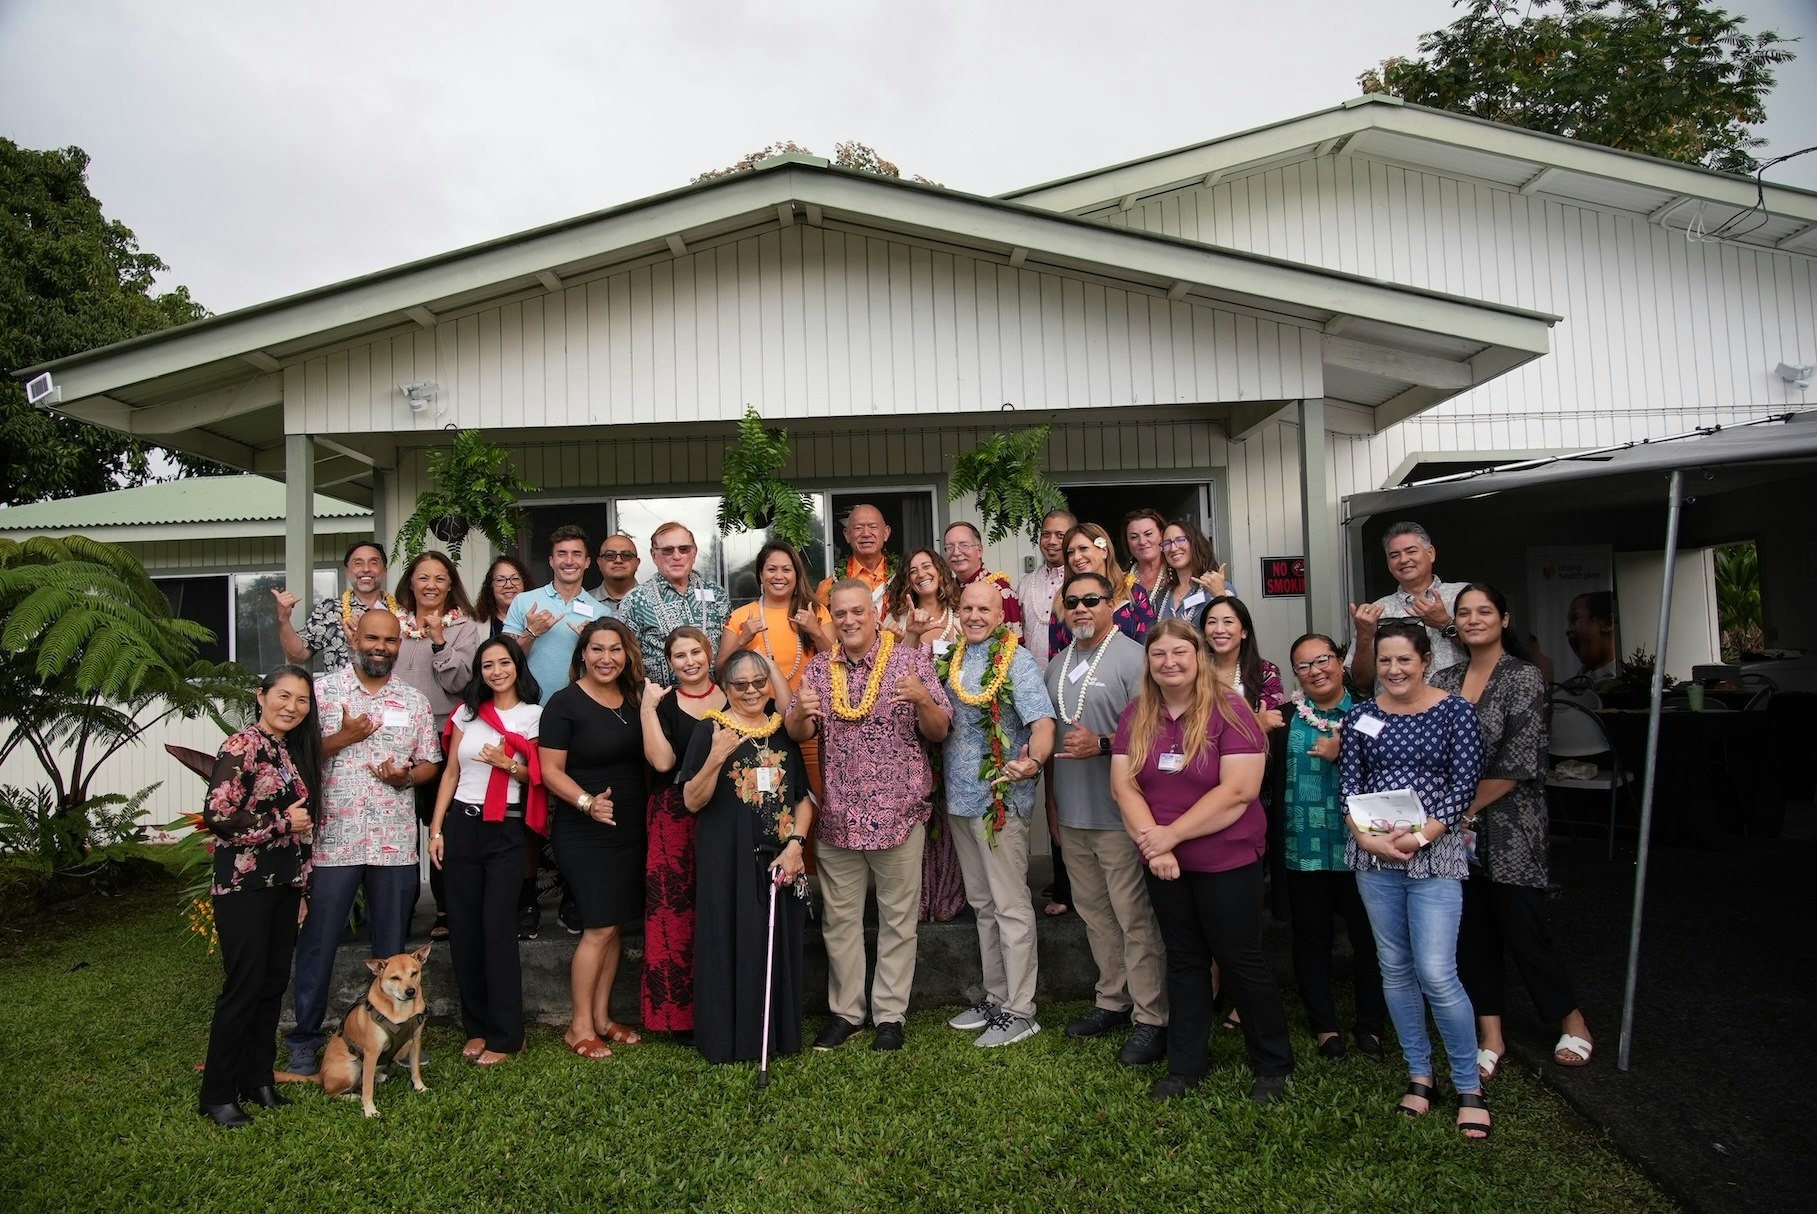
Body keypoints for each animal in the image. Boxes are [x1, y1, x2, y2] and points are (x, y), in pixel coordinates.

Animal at [319, 945, 428, 1119]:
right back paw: (352, 1096)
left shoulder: (416, 1041)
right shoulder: (371, 1052)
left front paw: (420, 1087)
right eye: (395, 978)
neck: (401, 1010)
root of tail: (320, 1075)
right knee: (331, 1093)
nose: (411, 991)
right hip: (351, 1069)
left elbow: (415, 1070)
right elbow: (368, 1088)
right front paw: (370, 1110)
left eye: (414, 973)